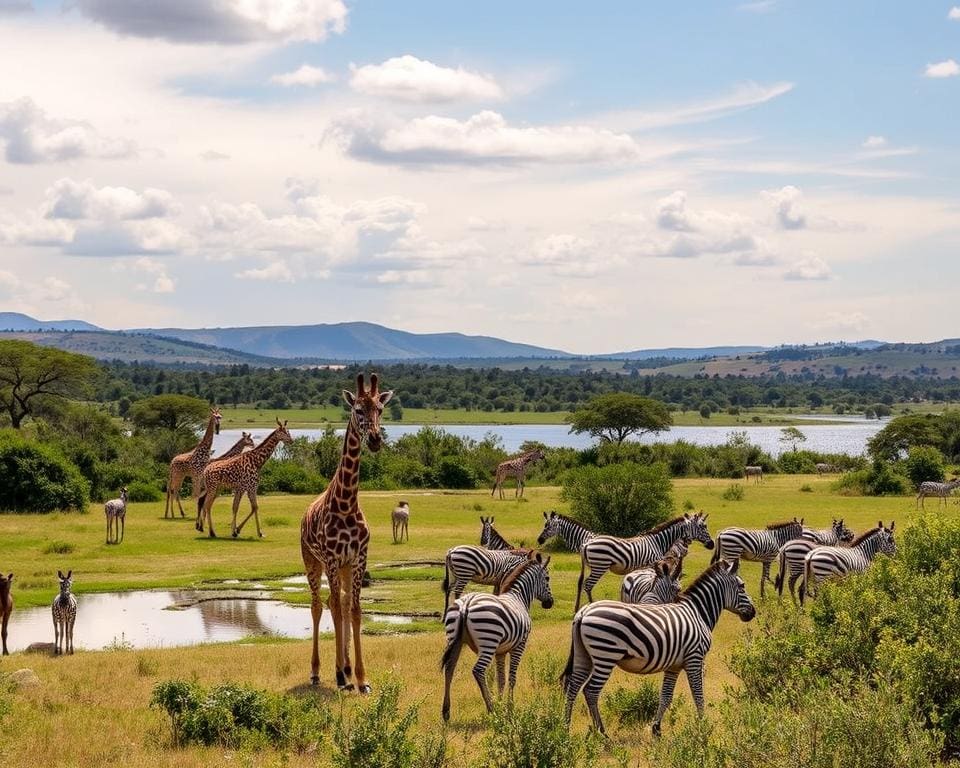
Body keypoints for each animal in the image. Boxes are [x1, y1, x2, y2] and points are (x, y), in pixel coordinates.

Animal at [300, 372, 390, 688]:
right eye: (358, 409)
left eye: (380, 408)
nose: (374, 440)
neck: (347, 503)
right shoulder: (330, 557)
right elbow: (337, 610)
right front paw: (339, 674)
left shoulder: (359, 557)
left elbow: (355, 610)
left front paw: (361, 677)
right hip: (312, 561)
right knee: (318, 605)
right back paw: (319, 671)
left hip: (344, 566)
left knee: (339, 601)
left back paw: (347, 668)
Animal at [442, 552, 556, 720]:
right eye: (547, 578)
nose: (550, 603)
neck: (519, 597)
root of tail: (466, 605)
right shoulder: (520, 645)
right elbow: (512, 678)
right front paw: (509, 708)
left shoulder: (500, 652)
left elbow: (500, 679)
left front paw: (501, 704)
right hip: (488, 641)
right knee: (478, 671)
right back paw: (491, 709)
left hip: (454, 641)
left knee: (449, 668)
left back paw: (446, 711)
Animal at [564, 560, 756, 736]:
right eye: (742, 586)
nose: (753, 613)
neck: (698, 613)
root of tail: (583, 613)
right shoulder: (695, 658)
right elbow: (698, 695)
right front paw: (703, 727)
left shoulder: (674, 666)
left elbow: (665, 696)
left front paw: (656, 729)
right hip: (605, 654)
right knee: (591, 691)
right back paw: (602, 733)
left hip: (583, 655)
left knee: (573, 687)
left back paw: (566, 728)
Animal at [568, 512, 712, 616]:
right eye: (702, 527)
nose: (711, 544)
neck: (657, 542)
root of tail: (586, 544)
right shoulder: (653, 563)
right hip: (599, 566)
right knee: (588, 585)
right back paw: (591, 604)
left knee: (581, 583)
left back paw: (576, 608)